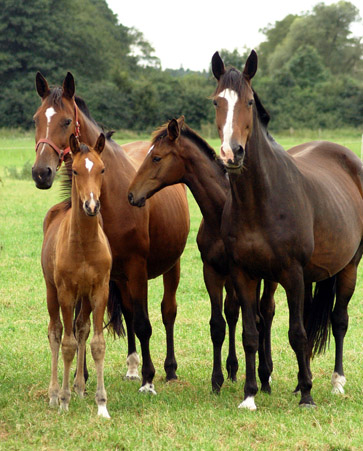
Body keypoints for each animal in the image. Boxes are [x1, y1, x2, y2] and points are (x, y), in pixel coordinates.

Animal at [33, 72, 191, 394]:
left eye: (66, 121)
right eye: (35, 119)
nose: (41, 172)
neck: (112, 194)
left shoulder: (137, 267)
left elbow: (145, 323)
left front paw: (149, 379)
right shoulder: (98, 273)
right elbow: (81, 323)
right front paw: (81, 376)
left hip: (171, 266)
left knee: (167, 311)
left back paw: (168, 369)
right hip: (120, 277)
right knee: (129, 313)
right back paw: (131, 366)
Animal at [126, 118, 278, 394]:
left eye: (156, 157)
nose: (132, 195)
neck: (220, 212)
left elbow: (254, 320)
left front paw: (258, 377)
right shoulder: (213, 271)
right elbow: (218, 324)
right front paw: (217, 380)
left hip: (268, 277)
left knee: (267, 313)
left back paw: (266, 373)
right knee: (235, 312)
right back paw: (234, 370)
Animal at [210, 49, 363, 410]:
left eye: (250, 101)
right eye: (216, 102)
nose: (231, 153)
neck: (261, 201)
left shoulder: (291, 273)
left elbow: (296, 333)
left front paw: (307, 394)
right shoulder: (244, 274)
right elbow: (251, 333)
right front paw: (250, 394)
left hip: (349, 266)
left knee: (339, 320)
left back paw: (336, 381)